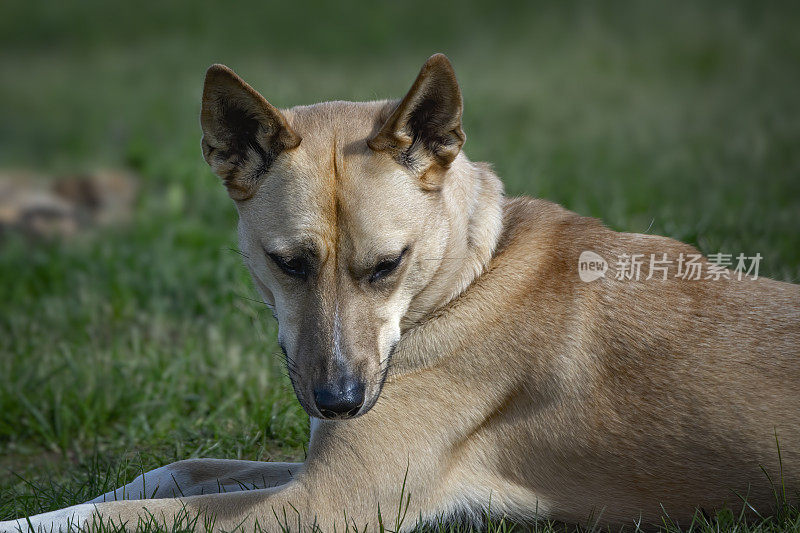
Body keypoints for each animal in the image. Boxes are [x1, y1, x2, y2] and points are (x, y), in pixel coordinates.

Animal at [1, 53, 800, 528]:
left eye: (387, 265)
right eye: (289, 263)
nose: (338, 402)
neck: (469, 276)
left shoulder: (325, 503)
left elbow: (138, 516)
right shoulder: (312, 468)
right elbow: (175, 471)